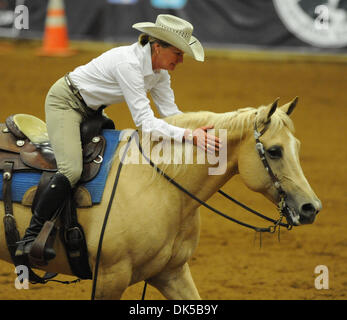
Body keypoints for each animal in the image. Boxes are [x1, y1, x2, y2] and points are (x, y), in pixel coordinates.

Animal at [0, 99, 322, 298]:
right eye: (275, 151)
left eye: (297, 146)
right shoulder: (109, 277)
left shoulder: (171, 272)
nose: (311, 208)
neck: (159, 186)